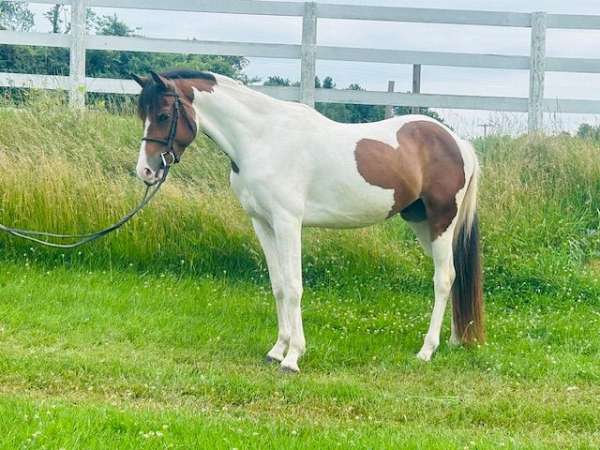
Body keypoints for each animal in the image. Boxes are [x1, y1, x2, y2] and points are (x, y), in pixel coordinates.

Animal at [131, 70, 482, 372]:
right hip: (421, 222)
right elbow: (278, 286)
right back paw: (452, 340)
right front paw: (277, 350)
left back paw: (427, 350)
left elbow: (294, 286)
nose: (146, 171)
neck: (262, 139)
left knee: (443, 278)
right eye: (143, 115)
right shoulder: (263, 223)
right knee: (452, 275)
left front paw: (293, 357)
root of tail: (458, 143)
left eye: (163, 115)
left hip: (441, 221)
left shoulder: (288, 222)